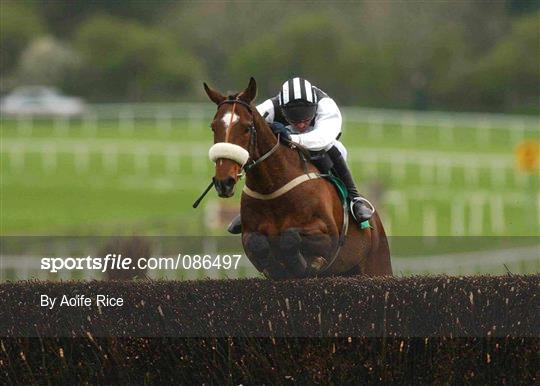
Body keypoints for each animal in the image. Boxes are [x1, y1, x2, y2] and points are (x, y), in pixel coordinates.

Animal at [205, 77, 390, 278]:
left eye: (247, 128)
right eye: (213, 127)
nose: (224, 182)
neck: (272, 187)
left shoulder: (327, 235)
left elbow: (290, 238)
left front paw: (302, 264)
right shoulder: (249, 235)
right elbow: (257, 243)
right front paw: (277, 265)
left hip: (377, 264)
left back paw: (360, 207)